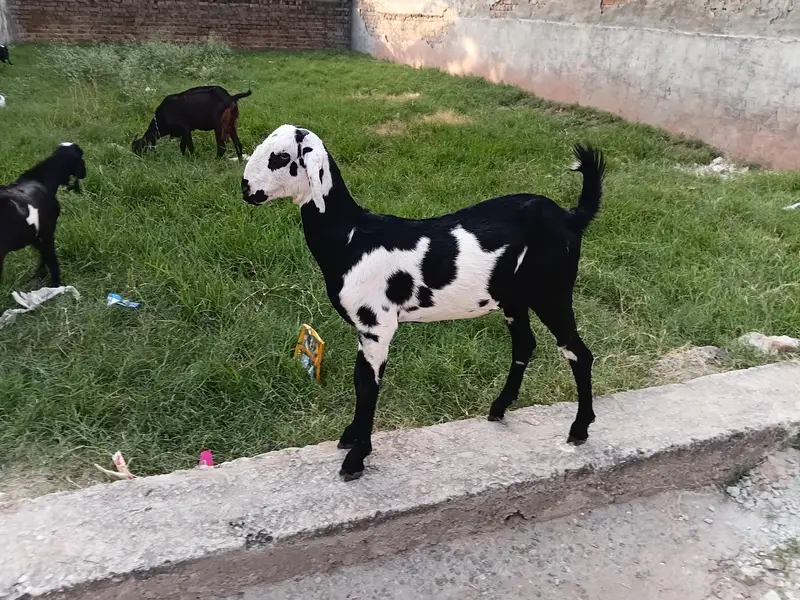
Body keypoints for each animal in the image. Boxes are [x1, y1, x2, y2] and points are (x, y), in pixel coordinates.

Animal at [0, 143, 87, 286]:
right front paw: (55, 284)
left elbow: (43, 255)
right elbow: (51, 259)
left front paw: (39, 276)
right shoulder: (47, 233)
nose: (84, 173)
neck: (41, 180)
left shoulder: (34, 236)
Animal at [242, 125, 606, 481]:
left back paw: (579, 429)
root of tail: (570, 218)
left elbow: (368, 385)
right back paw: (499, 408)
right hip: (515, 298)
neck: (351, 238)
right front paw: (350, 438)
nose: (246, 189)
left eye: (281, 157)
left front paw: (356, 459)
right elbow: (360, 379)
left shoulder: (376, 325)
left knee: (578, 353)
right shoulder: (364, 329)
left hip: (552, 292)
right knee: (525, 345)